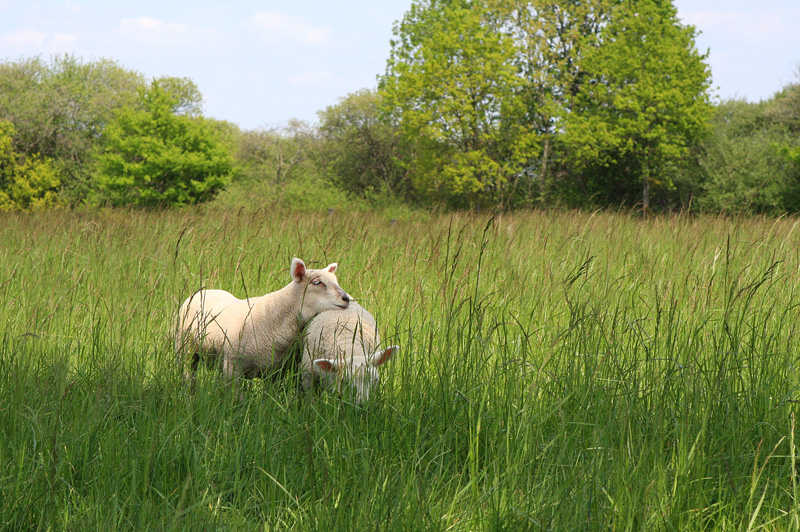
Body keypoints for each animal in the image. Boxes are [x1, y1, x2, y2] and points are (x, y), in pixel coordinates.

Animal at [177, 256, 352, 384]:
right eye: (317, 282)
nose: (347, 299)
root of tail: (206, 290)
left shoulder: (276, 372)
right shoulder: (233, 368)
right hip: (185, 349)